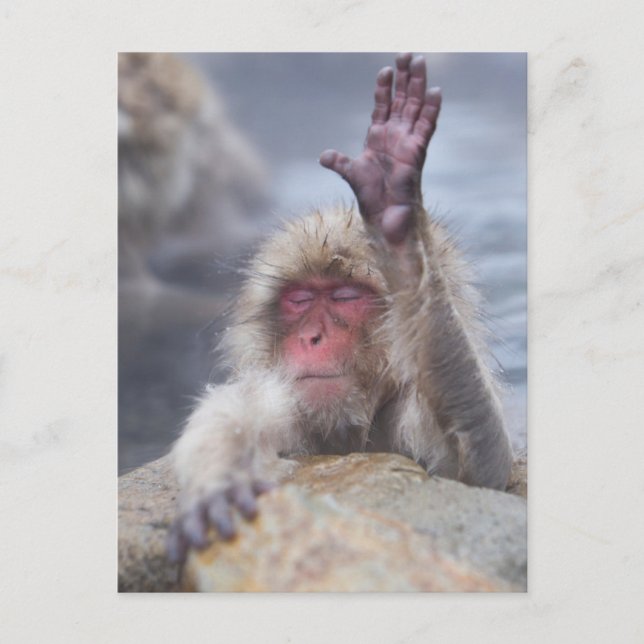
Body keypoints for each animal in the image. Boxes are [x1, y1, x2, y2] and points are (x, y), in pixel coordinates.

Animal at [167, 53, 514, 563]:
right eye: (300, 299)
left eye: (346, 296)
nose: (313, 337)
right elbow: (233, 413)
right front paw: (219, 483)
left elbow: (485, 470)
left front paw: (402, 239)